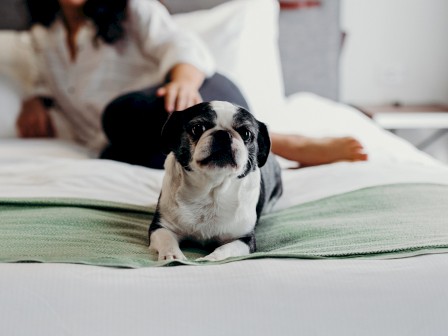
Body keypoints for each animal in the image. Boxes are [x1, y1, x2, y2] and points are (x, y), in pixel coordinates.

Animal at [149, 101, 282, 262]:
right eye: (197, 128)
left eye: (246, 134)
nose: (223, 133)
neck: (211, 189)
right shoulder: (161, 226)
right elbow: (167, 239)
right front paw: (172, 256)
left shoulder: (245, 239)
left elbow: (226, 249)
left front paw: (211, 258)